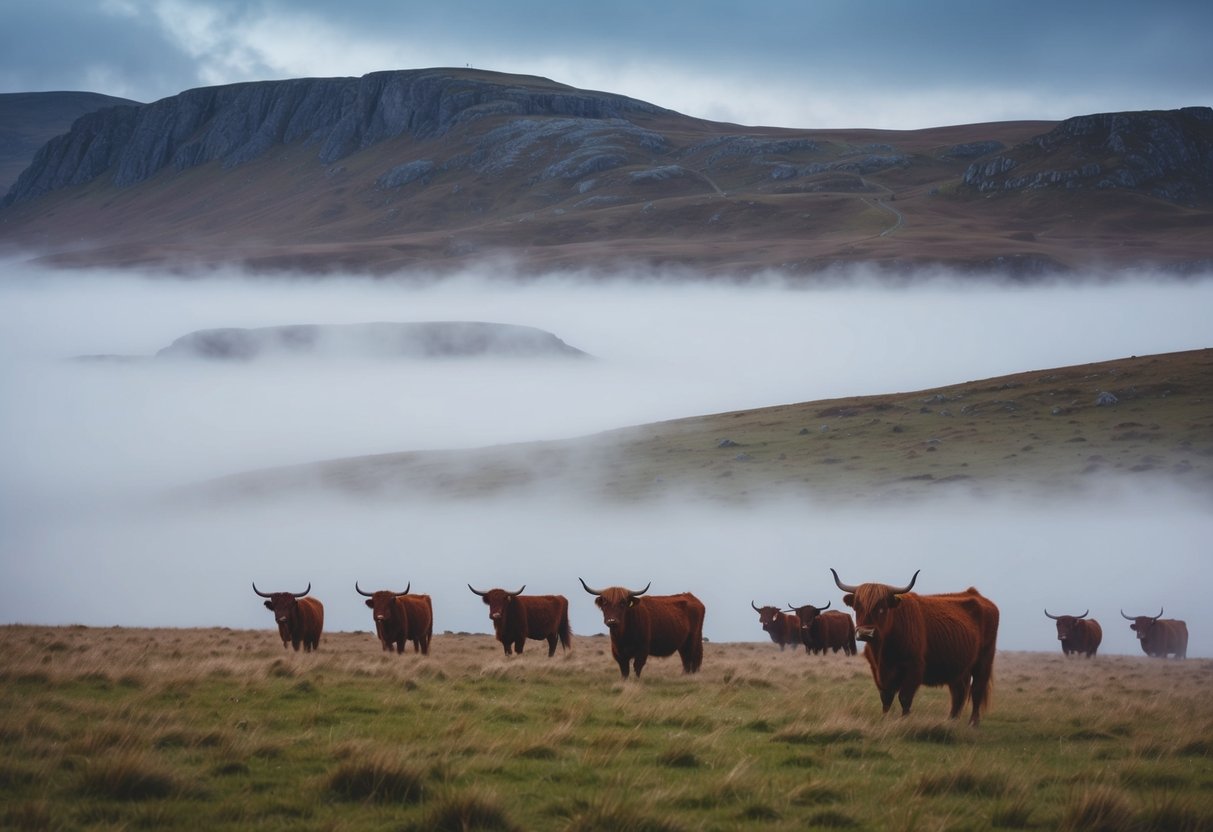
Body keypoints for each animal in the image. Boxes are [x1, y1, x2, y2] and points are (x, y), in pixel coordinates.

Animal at [829, 570, 999, 727]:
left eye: (882, 608)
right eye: (857, 607)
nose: (865, 633)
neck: (883, 652)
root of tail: (977, 595)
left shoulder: (914, 667)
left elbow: (905, 697)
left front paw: (905, 720)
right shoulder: (877, 670)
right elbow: (886, 696)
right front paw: (885, 719)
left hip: (984, 660)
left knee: (976, 689)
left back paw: (973, 723)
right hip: (960, 667)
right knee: (959, 692)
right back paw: (951, 720)